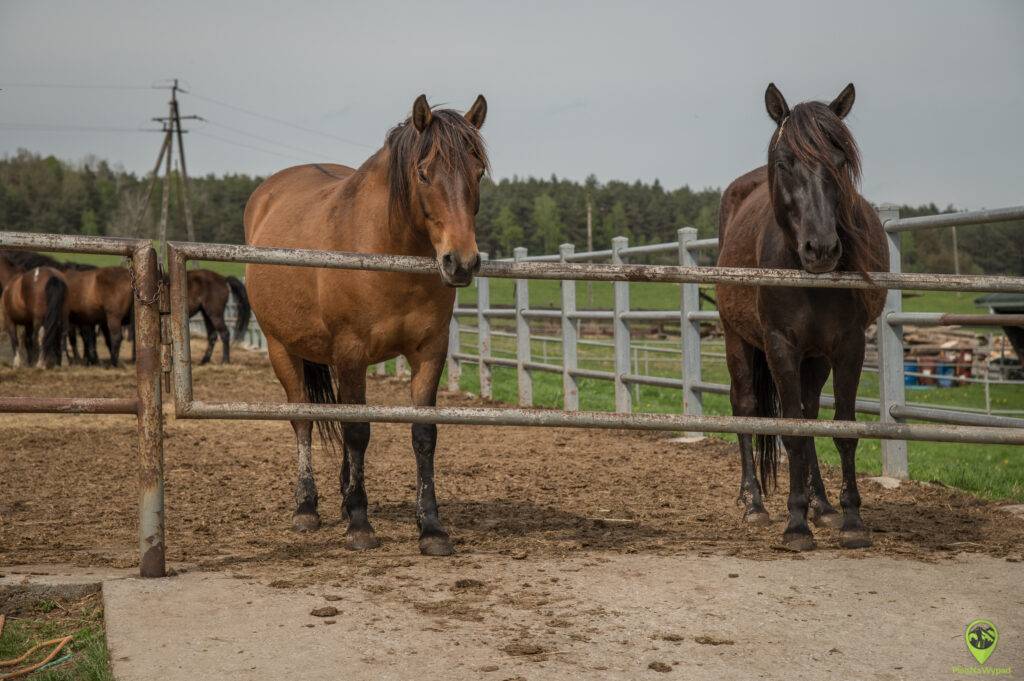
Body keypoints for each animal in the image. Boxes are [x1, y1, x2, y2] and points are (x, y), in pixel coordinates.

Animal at [245, 93, 489, 557]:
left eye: (478, 171)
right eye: (424, 173)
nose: (461, 262)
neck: (385, 248)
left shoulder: (429, 352)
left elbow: (423, 435)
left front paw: (431, 528)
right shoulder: (351, 351)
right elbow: (357, 431)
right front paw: (360, 524)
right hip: (282, 348)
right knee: (303, 420)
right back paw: (307, 508)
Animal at [712, 83, 888, 552]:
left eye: (841, 160)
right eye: (785, 162)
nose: (821, 249)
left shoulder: (849, 345)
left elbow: (840, 429)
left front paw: (850, 519)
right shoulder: (780, 345)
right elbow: (790, 430)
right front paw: (795, 525)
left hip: (817, 356)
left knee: (809, 412)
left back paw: (821, 504)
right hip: (737, 338)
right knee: (746, 406)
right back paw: (754, 502)